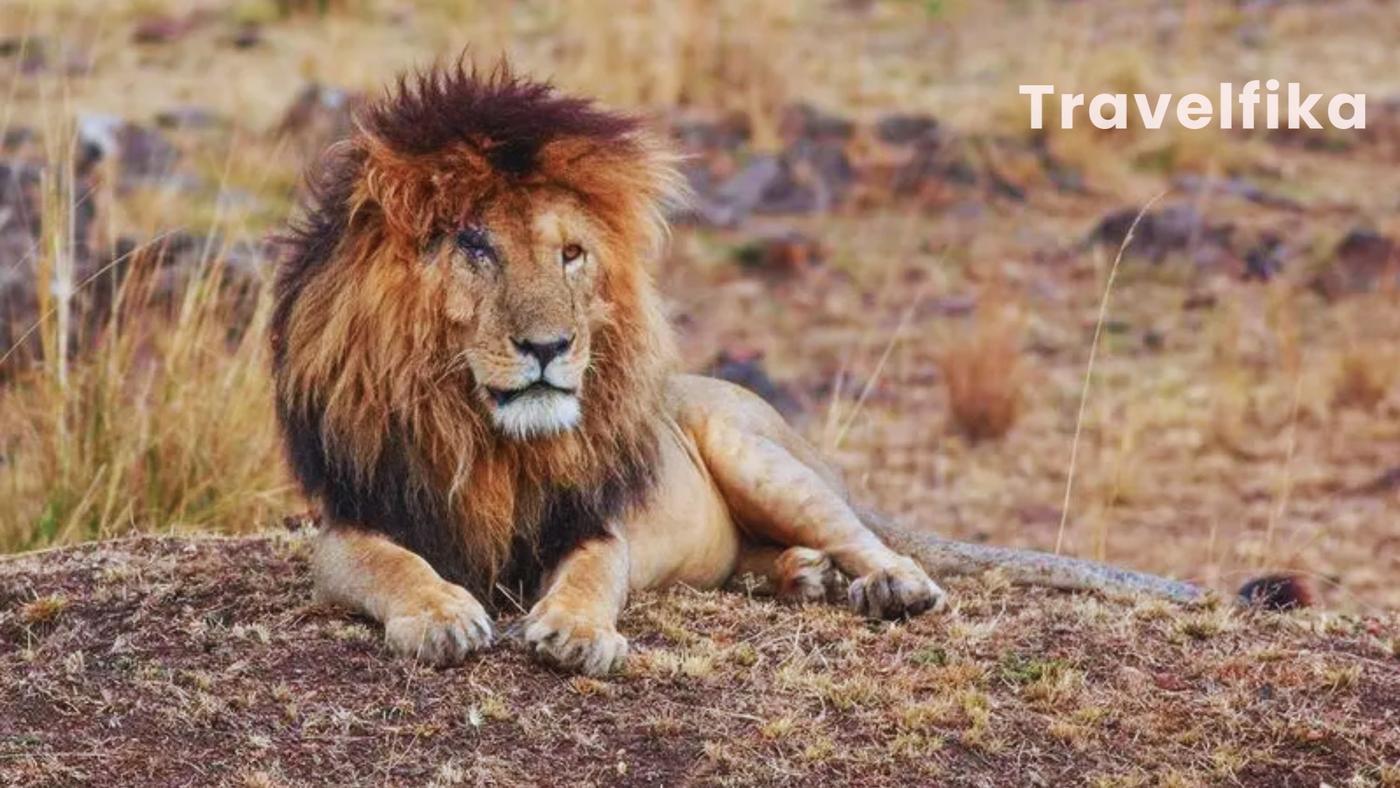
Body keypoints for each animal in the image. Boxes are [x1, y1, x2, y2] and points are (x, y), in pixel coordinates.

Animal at [271, 62, 1217, 677]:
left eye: (572, 254)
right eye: (476, 245)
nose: (551, 347)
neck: (489, 436)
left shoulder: (594, 522)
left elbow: (591, 574)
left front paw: (577, 633)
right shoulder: (353, 520)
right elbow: (390, 567)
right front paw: (440, 617)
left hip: (750, 448)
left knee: (866, 537)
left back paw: (886, 584)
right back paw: (800, 574)